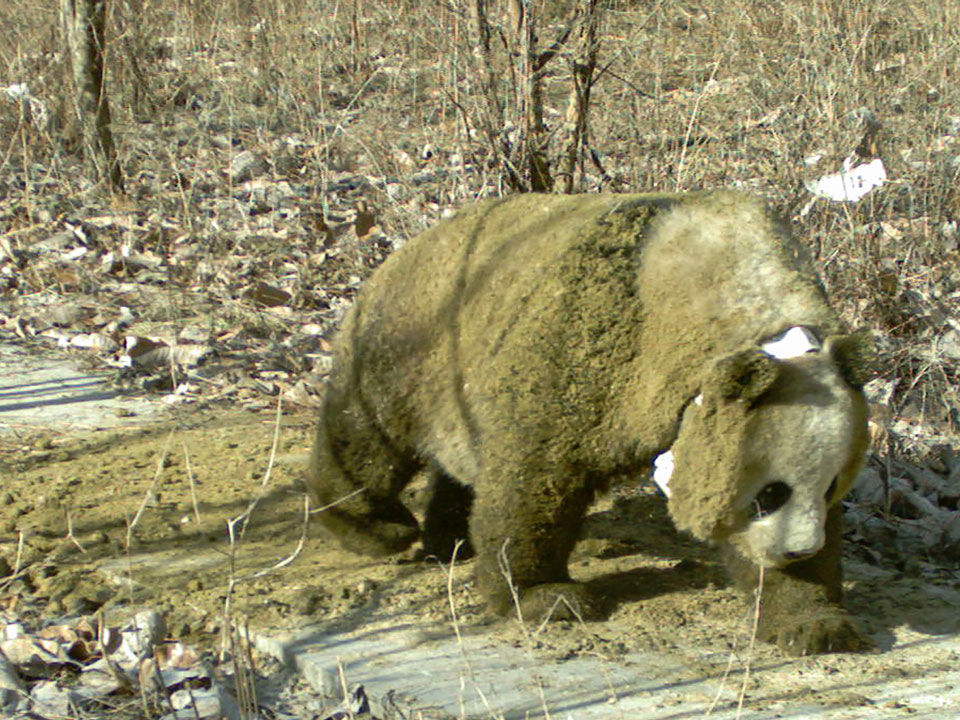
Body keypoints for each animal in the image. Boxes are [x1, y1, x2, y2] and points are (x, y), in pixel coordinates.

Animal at [306, 193, 872, 660]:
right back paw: (378, 527)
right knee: (367, 438)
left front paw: (812, 620)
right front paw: (546, 597)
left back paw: (450, 538)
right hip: (409, 347)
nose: (798, 550)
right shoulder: (592, 345)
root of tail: (405, 249)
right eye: (769, 493)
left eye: (831, 488)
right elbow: (533, 475)